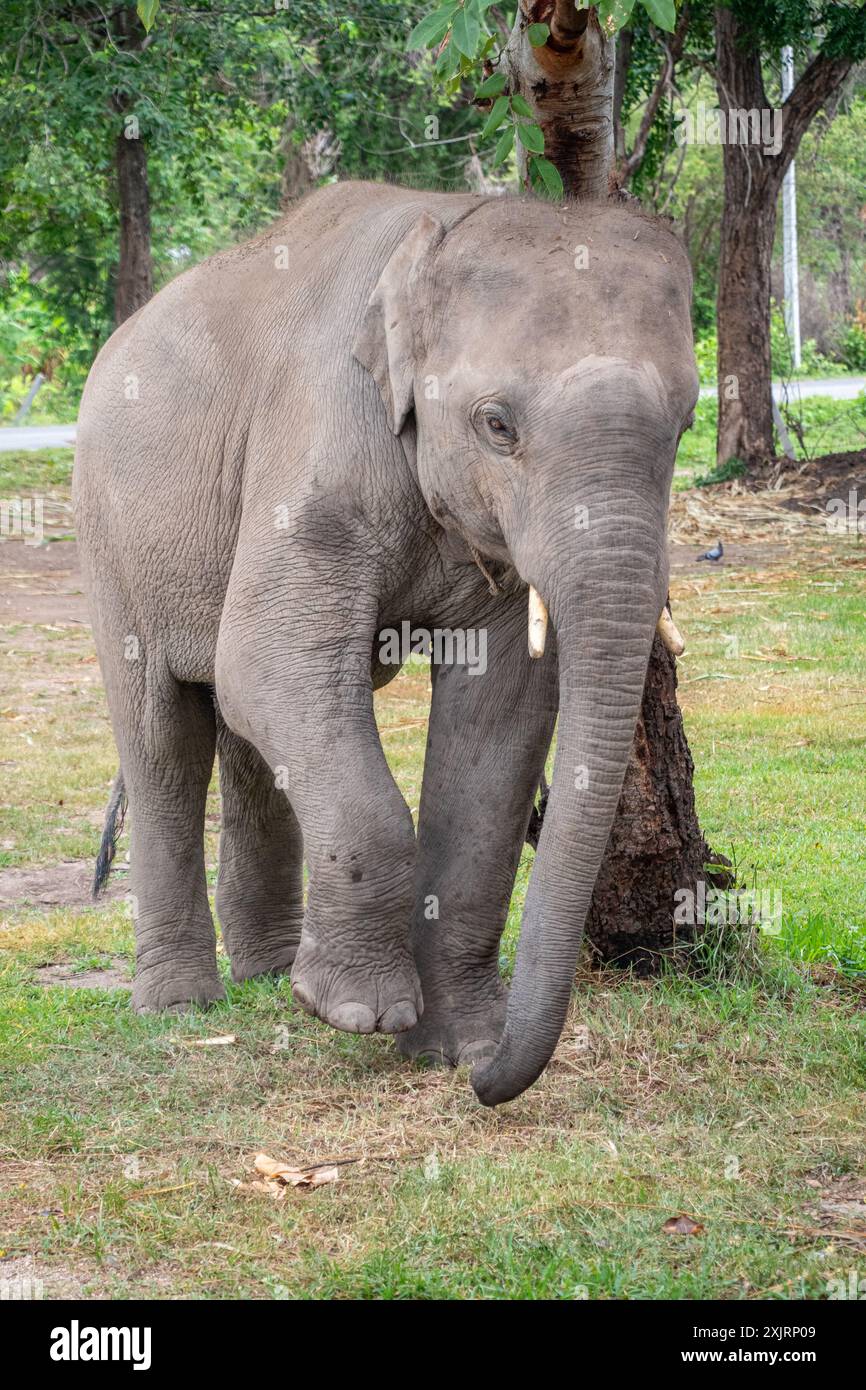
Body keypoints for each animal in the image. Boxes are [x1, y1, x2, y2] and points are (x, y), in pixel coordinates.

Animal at [72, 176, 697, 1106]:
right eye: (497, 426)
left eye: (685, 426)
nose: (490, 1085)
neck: (443, 225)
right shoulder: (316, 440)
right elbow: (265, 661)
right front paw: (357, 1013)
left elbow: (503, 711)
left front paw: (453, 1048)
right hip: (110, 537)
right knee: (166, 735)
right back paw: (184, 1006)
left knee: (247, 737)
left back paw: (267, 974)